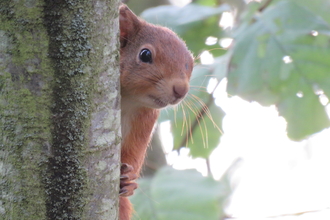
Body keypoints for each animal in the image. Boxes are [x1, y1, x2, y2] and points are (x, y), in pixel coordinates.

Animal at [118, 5, 193, 220]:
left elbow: (133, 152)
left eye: (189, 64)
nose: (181, 89)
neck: (128, 100)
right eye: (145, 55)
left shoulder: (145, 120)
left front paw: (129, 179)